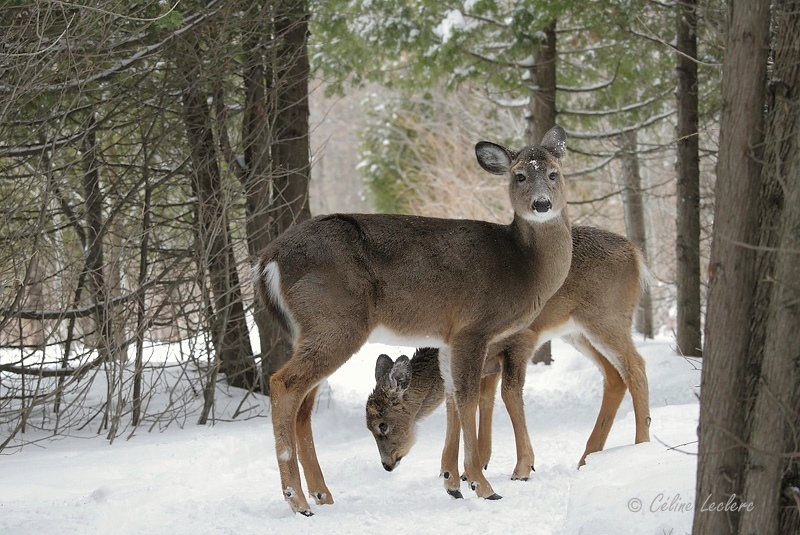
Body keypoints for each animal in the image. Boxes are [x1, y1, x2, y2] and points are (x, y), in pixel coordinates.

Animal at [256, 124, 576, 516]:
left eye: (554, 173)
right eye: (519, 176)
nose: (541, 204)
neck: (523, 264)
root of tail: (268, 260)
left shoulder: (448, 336)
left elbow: (453, 396)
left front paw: (453, 482)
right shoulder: (474, 326)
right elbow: (467, 398)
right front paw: (481, 484)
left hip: (311, 330)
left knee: (304, 405)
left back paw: (322, 494)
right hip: (336, 322)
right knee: (283, 384)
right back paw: (297, 500)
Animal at [368, 224, 648, 484]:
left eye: (382, 424)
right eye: (368, 425)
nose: (387, 464)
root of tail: (635, 254)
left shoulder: (520, 341)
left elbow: (509, 394)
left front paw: (522, 468)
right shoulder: (488, 362)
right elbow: (482, 400)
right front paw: (473, 467)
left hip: (606, 316)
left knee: (636, 366)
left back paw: (641, 444)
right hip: (577, 331)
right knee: (614, 376)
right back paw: (587, 457)